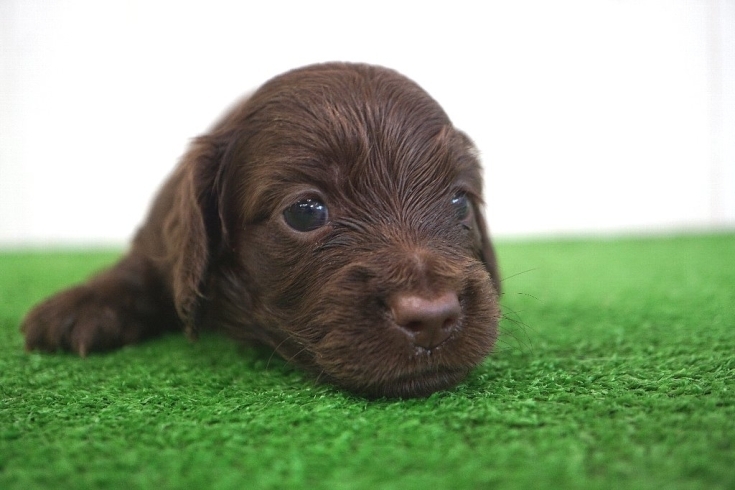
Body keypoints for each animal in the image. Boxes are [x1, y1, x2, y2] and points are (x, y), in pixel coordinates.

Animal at [24, 62, 506, 398]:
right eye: (305, 212)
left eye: (460, 201)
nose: (433, 317)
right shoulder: (161, 238)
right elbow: (141, 267)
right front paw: (83, 305)